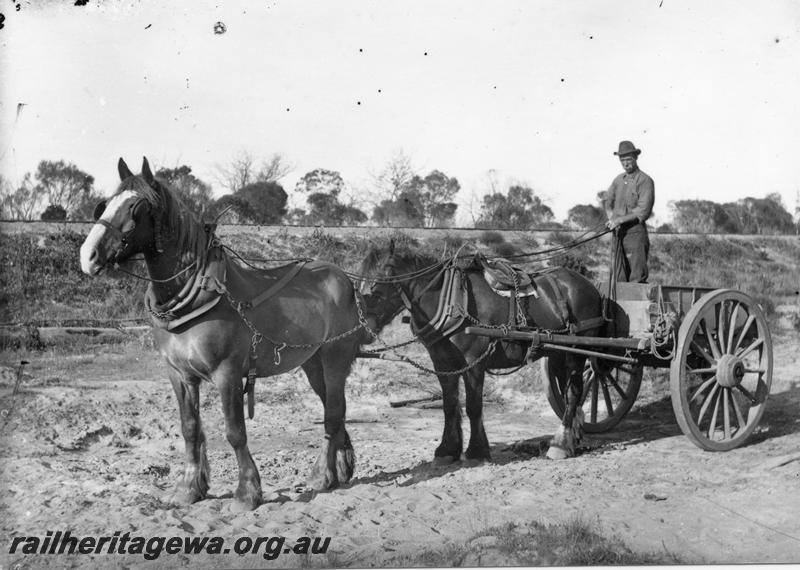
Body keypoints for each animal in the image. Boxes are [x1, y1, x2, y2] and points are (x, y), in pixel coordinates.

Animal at [80, 156, 362, 510]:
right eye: (105, 204)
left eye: (135, 207)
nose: (87, 256)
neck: (199, 297)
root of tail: (342, 277)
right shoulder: (180, 375)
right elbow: (190, 429)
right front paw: (189, 487)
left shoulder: (227, 373)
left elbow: (234, 431)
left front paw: (247, 492)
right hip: (312, 364)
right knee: (333, 409)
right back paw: (339, 468)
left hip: (335, 358)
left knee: (333, 412)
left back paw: (323, 475)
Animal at [360, 240, 604, 462]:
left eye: (379, 281)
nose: (365, 328)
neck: (453, 301)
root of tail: (588, 285)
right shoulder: (442, 362)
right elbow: (449, 405)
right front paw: (448, 449)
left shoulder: (474, 362)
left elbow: (473, 406)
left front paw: (477, 451)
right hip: (557, 353)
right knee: (568, 391)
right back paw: (572, 438)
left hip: (577, 350)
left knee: (574, 392)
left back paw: (560, 444)